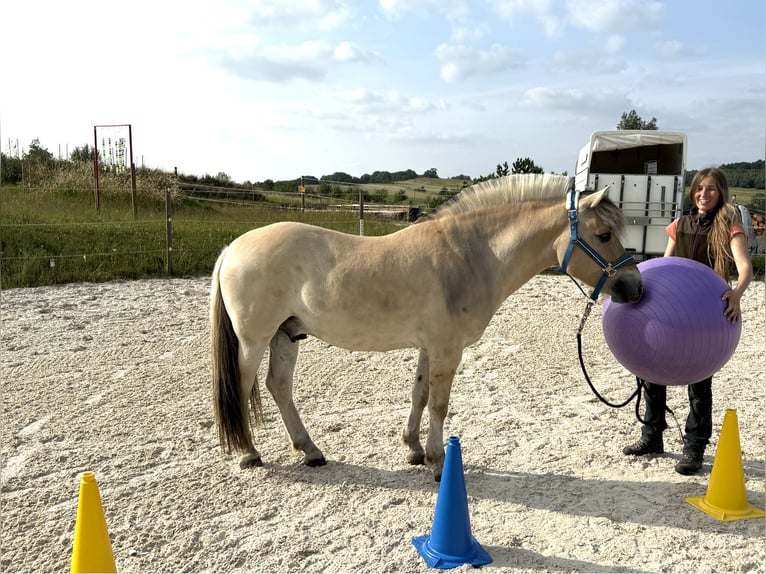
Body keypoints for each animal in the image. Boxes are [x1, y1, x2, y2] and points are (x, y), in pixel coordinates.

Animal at [210, 173, 643, 481]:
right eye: (603, 234)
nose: (635, 286)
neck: (470, 255)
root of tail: (232, 248)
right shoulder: (447, 348)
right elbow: (439, 402)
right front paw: (437, 462)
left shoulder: (427, 346)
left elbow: (419, 395)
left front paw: (413, 450)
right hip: (254, 340)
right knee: (242, 386)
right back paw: (249, 453)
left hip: (287, 335)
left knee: (279, 387)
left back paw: (310, 451)